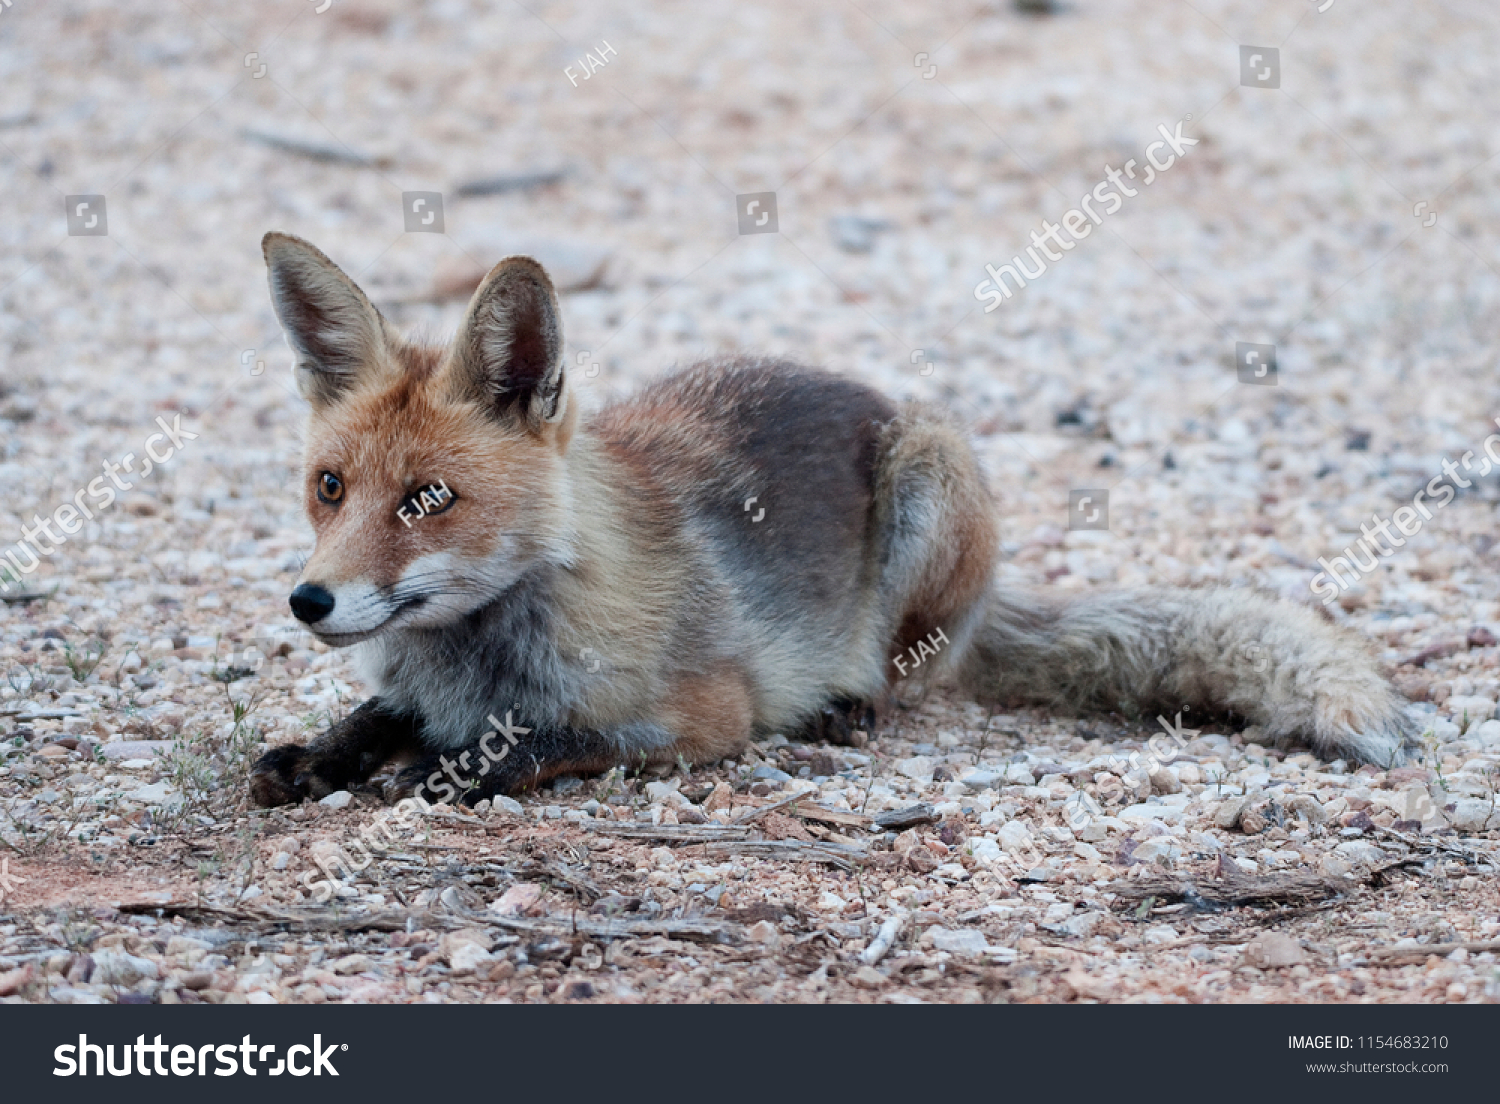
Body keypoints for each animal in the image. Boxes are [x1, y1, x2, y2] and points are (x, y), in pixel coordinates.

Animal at [248, 231, 1416, 809]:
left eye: (429, 500)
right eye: (331, 488)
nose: (310, 602)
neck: (485, 653)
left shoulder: (700, 718)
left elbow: (552, 741)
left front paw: (447, 772)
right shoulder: (421, 686)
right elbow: (376, 717)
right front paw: (321, 754)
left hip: (929, 483)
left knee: (913, 678)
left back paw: (845, 707)